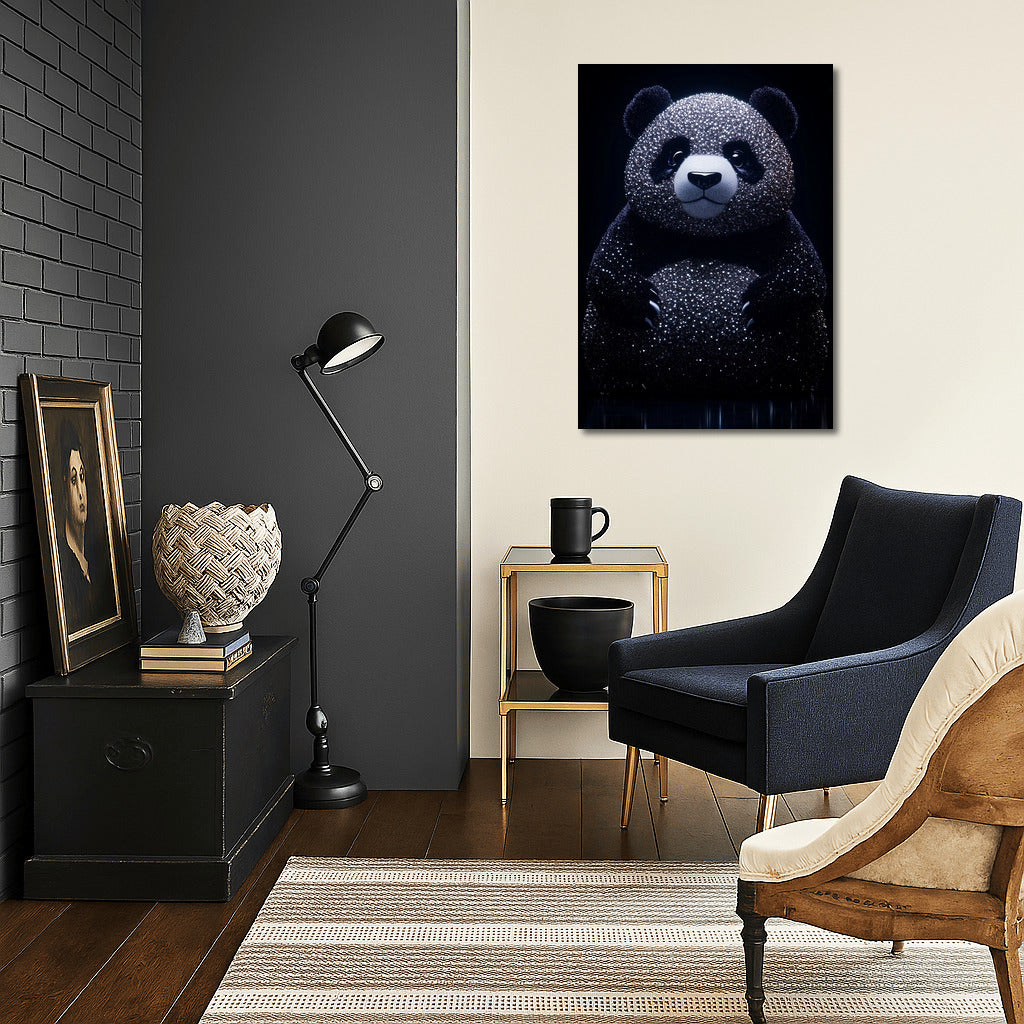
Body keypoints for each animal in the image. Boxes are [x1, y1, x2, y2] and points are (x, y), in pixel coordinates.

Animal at [581, 86, 830, 398]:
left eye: (738, 155)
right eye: (675, 154)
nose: (703, 178)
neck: (705, 237)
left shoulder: (774, 226)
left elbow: (806, 275)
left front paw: (757, 303)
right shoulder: (641, 223)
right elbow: (604, 270)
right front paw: (643, 301)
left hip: (804, 339)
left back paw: (784, 383)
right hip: (605, 337)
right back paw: (626, 382)